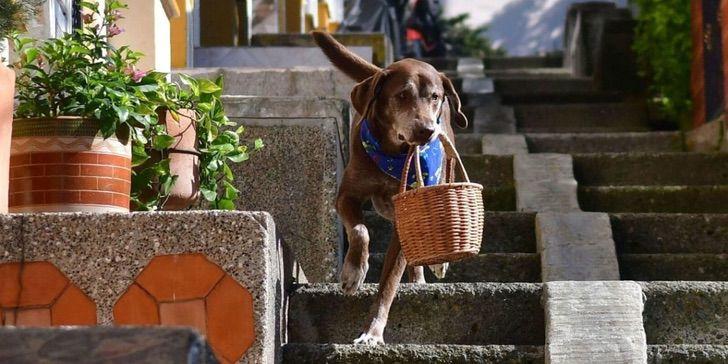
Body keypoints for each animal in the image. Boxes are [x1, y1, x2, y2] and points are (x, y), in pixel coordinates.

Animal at [312, 31, 466, 344]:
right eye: (402, 95)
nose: (427, 130)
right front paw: (353, 273)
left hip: (443, 175)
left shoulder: (408, 214)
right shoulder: (346, 195)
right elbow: (360, 231)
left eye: (435, 97)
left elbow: (389, 283)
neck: (393, 151)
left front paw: (372, 332)